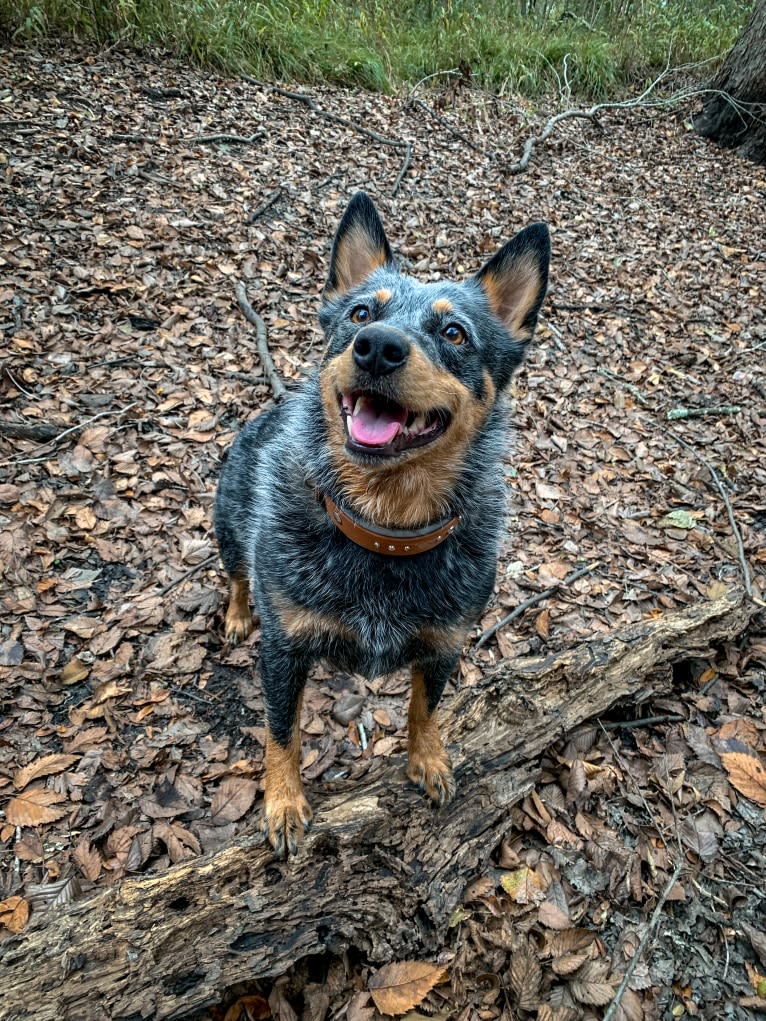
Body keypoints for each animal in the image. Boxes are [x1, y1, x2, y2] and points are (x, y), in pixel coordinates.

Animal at [216, 191, 547, 853]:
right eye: (361, 311)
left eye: (455, 332)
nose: (376, 345)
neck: (385, 527)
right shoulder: (284, 648)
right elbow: (282, 730)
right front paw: (283, 801)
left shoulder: (445, 643)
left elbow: (426, 707)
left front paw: (429, 759)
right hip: (229, 526)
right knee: (239, 574)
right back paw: (238, 613)